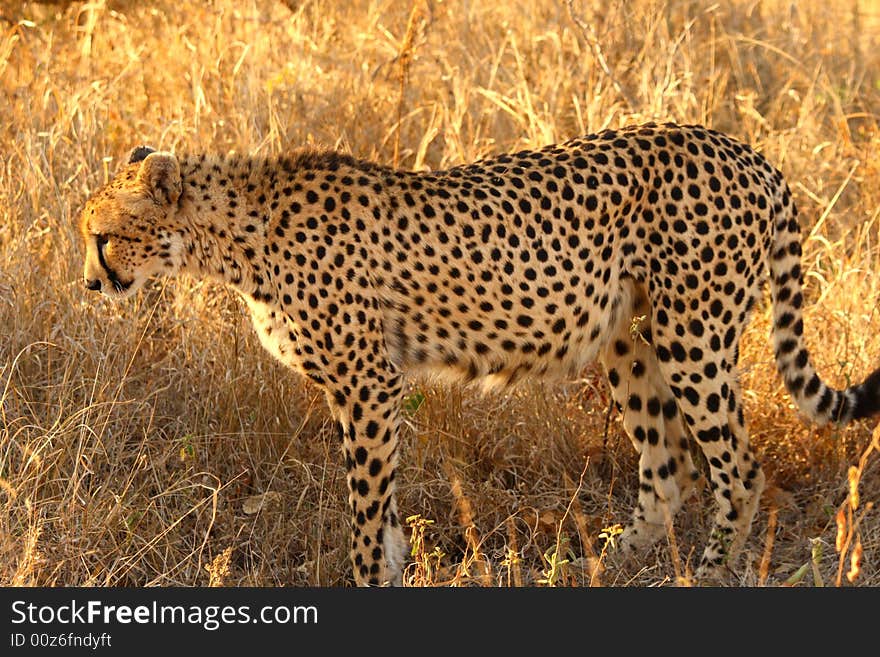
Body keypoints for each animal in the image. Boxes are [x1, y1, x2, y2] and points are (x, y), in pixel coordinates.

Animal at [79, 123, 880, 584]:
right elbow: (384, 509)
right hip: (626, 338)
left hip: (694, 333)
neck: (236, 235)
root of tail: (748, 151)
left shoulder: (367, 383)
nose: (90, 282)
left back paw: (707, 575)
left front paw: (370, 578)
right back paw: (603, 568)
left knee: (737, 468)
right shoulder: (370, 386)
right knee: (668, 463)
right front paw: (394, 567)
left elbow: (366, 507)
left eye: (103, 236)